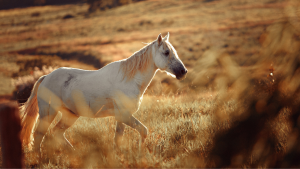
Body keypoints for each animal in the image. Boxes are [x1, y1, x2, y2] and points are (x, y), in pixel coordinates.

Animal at [20, 32, 188, 153]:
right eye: (166, 52)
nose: (183, 72)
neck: (129, 79)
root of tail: (46, 77)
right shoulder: (124, 115)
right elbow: (143, 131)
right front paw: (141, 153)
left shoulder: (122, 117)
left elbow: (118, 139)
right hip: (48, 113)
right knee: (39, 135)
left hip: (70, 115)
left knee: (56, 133)